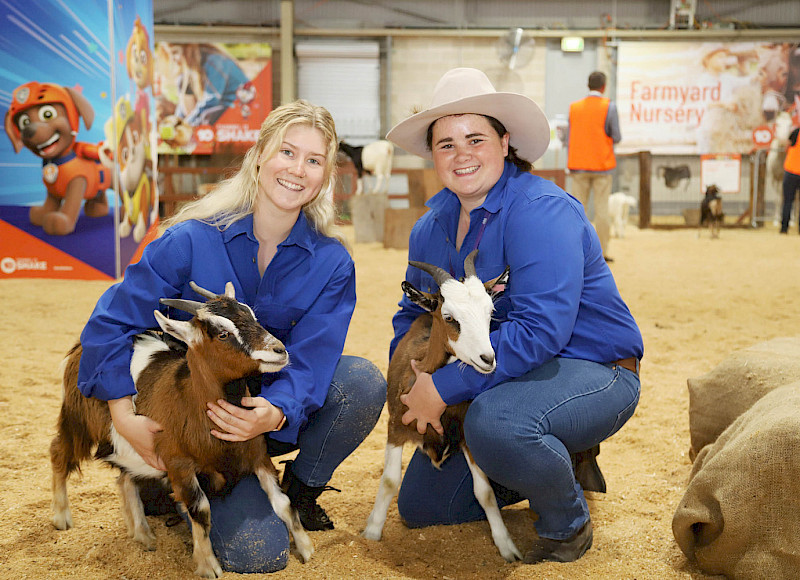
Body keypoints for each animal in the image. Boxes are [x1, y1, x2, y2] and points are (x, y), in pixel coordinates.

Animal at [4, 81, 111, 236]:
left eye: (47, 114)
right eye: (24, 121)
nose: (28, 131)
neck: (57, 163)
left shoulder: (77, 183)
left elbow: (71, 204)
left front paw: (60, 220)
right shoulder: (52, 190)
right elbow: (51, 203)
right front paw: (41, 214)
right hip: (98, 186)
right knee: (99, 193)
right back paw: (97, 210)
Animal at [50, 280, 312, 576]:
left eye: (253, 317)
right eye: (222, 334)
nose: (279, 350)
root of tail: (78, 348)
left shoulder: (258, 454)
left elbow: (283, 503)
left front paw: (305, 547)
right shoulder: (178, 464)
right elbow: (200, 510)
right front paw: (208, 565)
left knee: (125, 478)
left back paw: (143, 534)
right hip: (76, 421)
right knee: (59, 453)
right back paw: (62, 517)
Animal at [364, 250, 524, 560]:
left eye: (490, 313)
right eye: (449, 317)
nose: (488, 359)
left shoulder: (467, 438)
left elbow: (485, 492)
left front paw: (507, 546)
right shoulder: (395, 428)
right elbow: (389, 481)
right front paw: (371, 533)